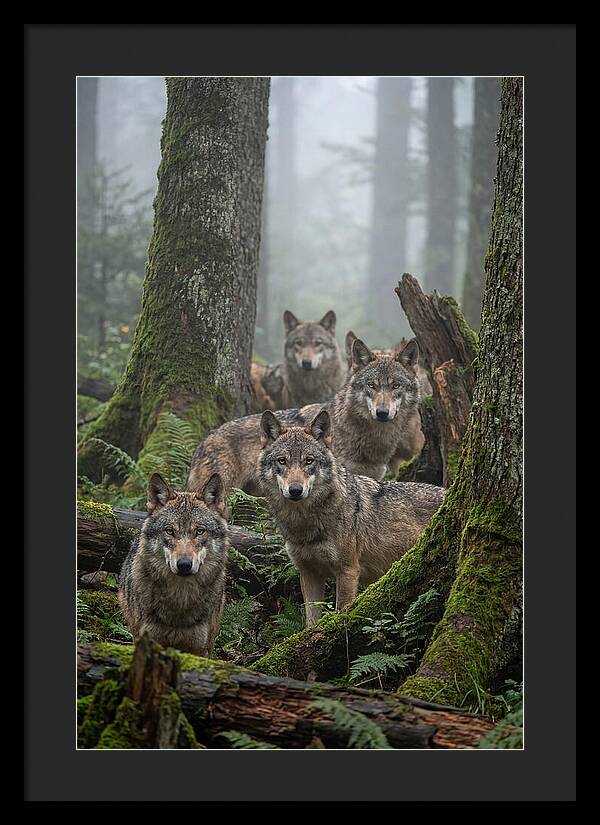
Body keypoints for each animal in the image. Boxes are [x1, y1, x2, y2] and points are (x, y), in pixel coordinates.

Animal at [258, 409, 445, 627]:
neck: (304, 524)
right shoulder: (308, 573)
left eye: (309, 461)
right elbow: (311, 621)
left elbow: (341, 612)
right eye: (282, 461)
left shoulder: (347, 571)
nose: (295, 490)